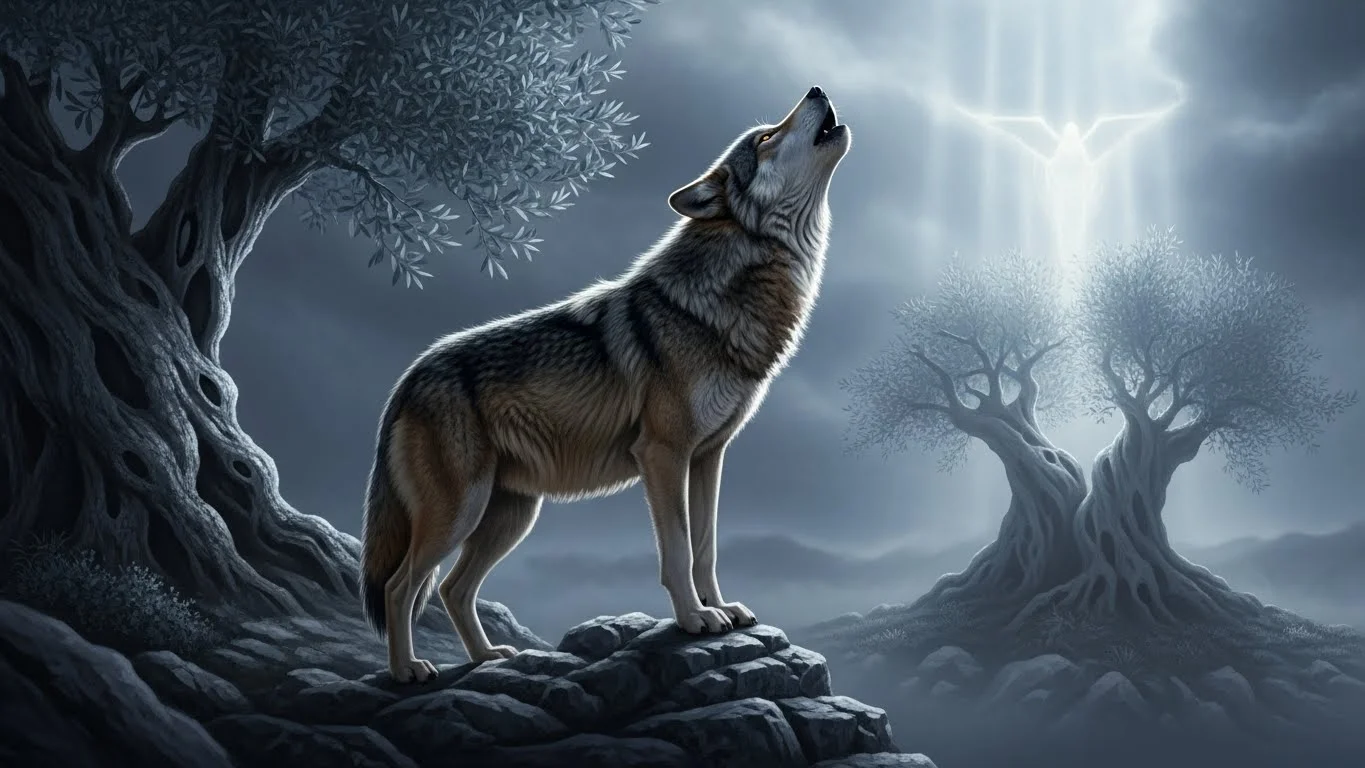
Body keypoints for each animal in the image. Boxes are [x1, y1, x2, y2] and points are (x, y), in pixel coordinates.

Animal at [360, 86, 851, 682]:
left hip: (509, 516)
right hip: (460, 514)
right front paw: (694, 619)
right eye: (764, 138)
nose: (816, 89)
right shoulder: (663, 454)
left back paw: (488, 658)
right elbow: (678, 550)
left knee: (452, 589)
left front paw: (720, 608)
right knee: (399, 586)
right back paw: (406, 670)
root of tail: (407, 379)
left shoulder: (708, 457)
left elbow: (706, 549)